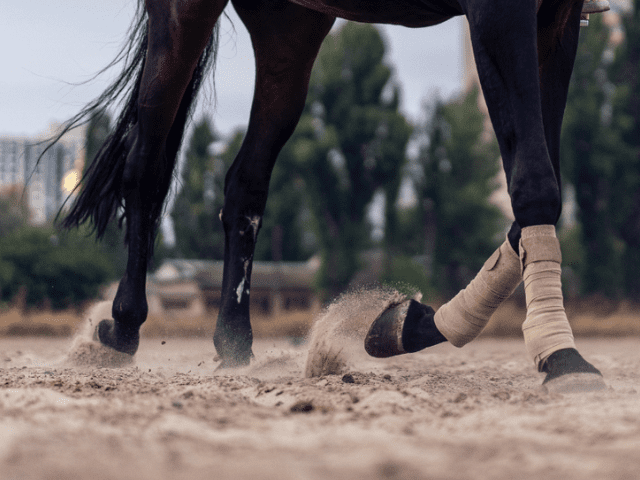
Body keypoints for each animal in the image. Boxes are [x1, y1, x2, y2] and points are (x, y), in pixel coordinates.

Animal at [53, 0, 604, 390]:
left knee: (245, 182)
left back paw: (234, 343)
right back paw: (122, 328)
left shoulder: (557, 18)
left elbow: (536, 187)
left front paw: (409, 324)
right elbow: (534, 181)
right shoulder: (500, 10)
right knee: (144, 168)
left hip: (288, 30)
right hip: (183, 14)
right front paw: (562, 357)